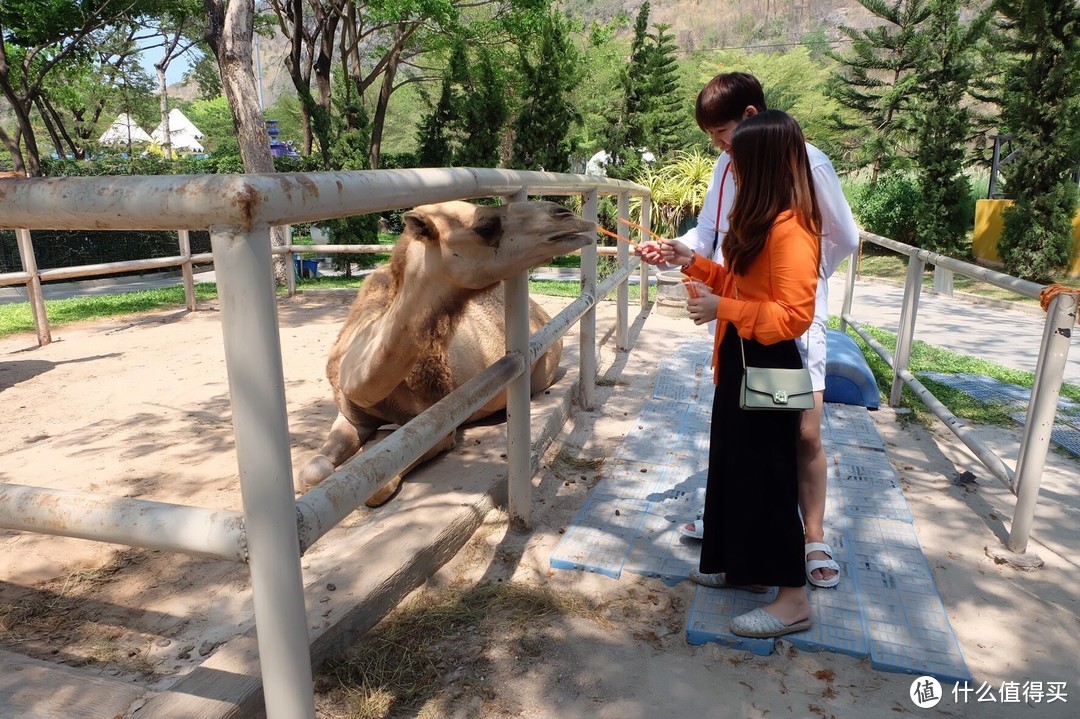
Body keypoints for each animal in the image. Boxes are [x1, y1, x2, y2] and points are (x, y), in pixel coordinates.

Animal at [300, 197, 596, 503]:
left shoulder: (436, 425)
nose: (566, 215)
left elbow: (380, 486)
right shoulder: (349, 414)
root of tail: (542, 314)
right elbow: (312, 472)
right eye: (486, 226)